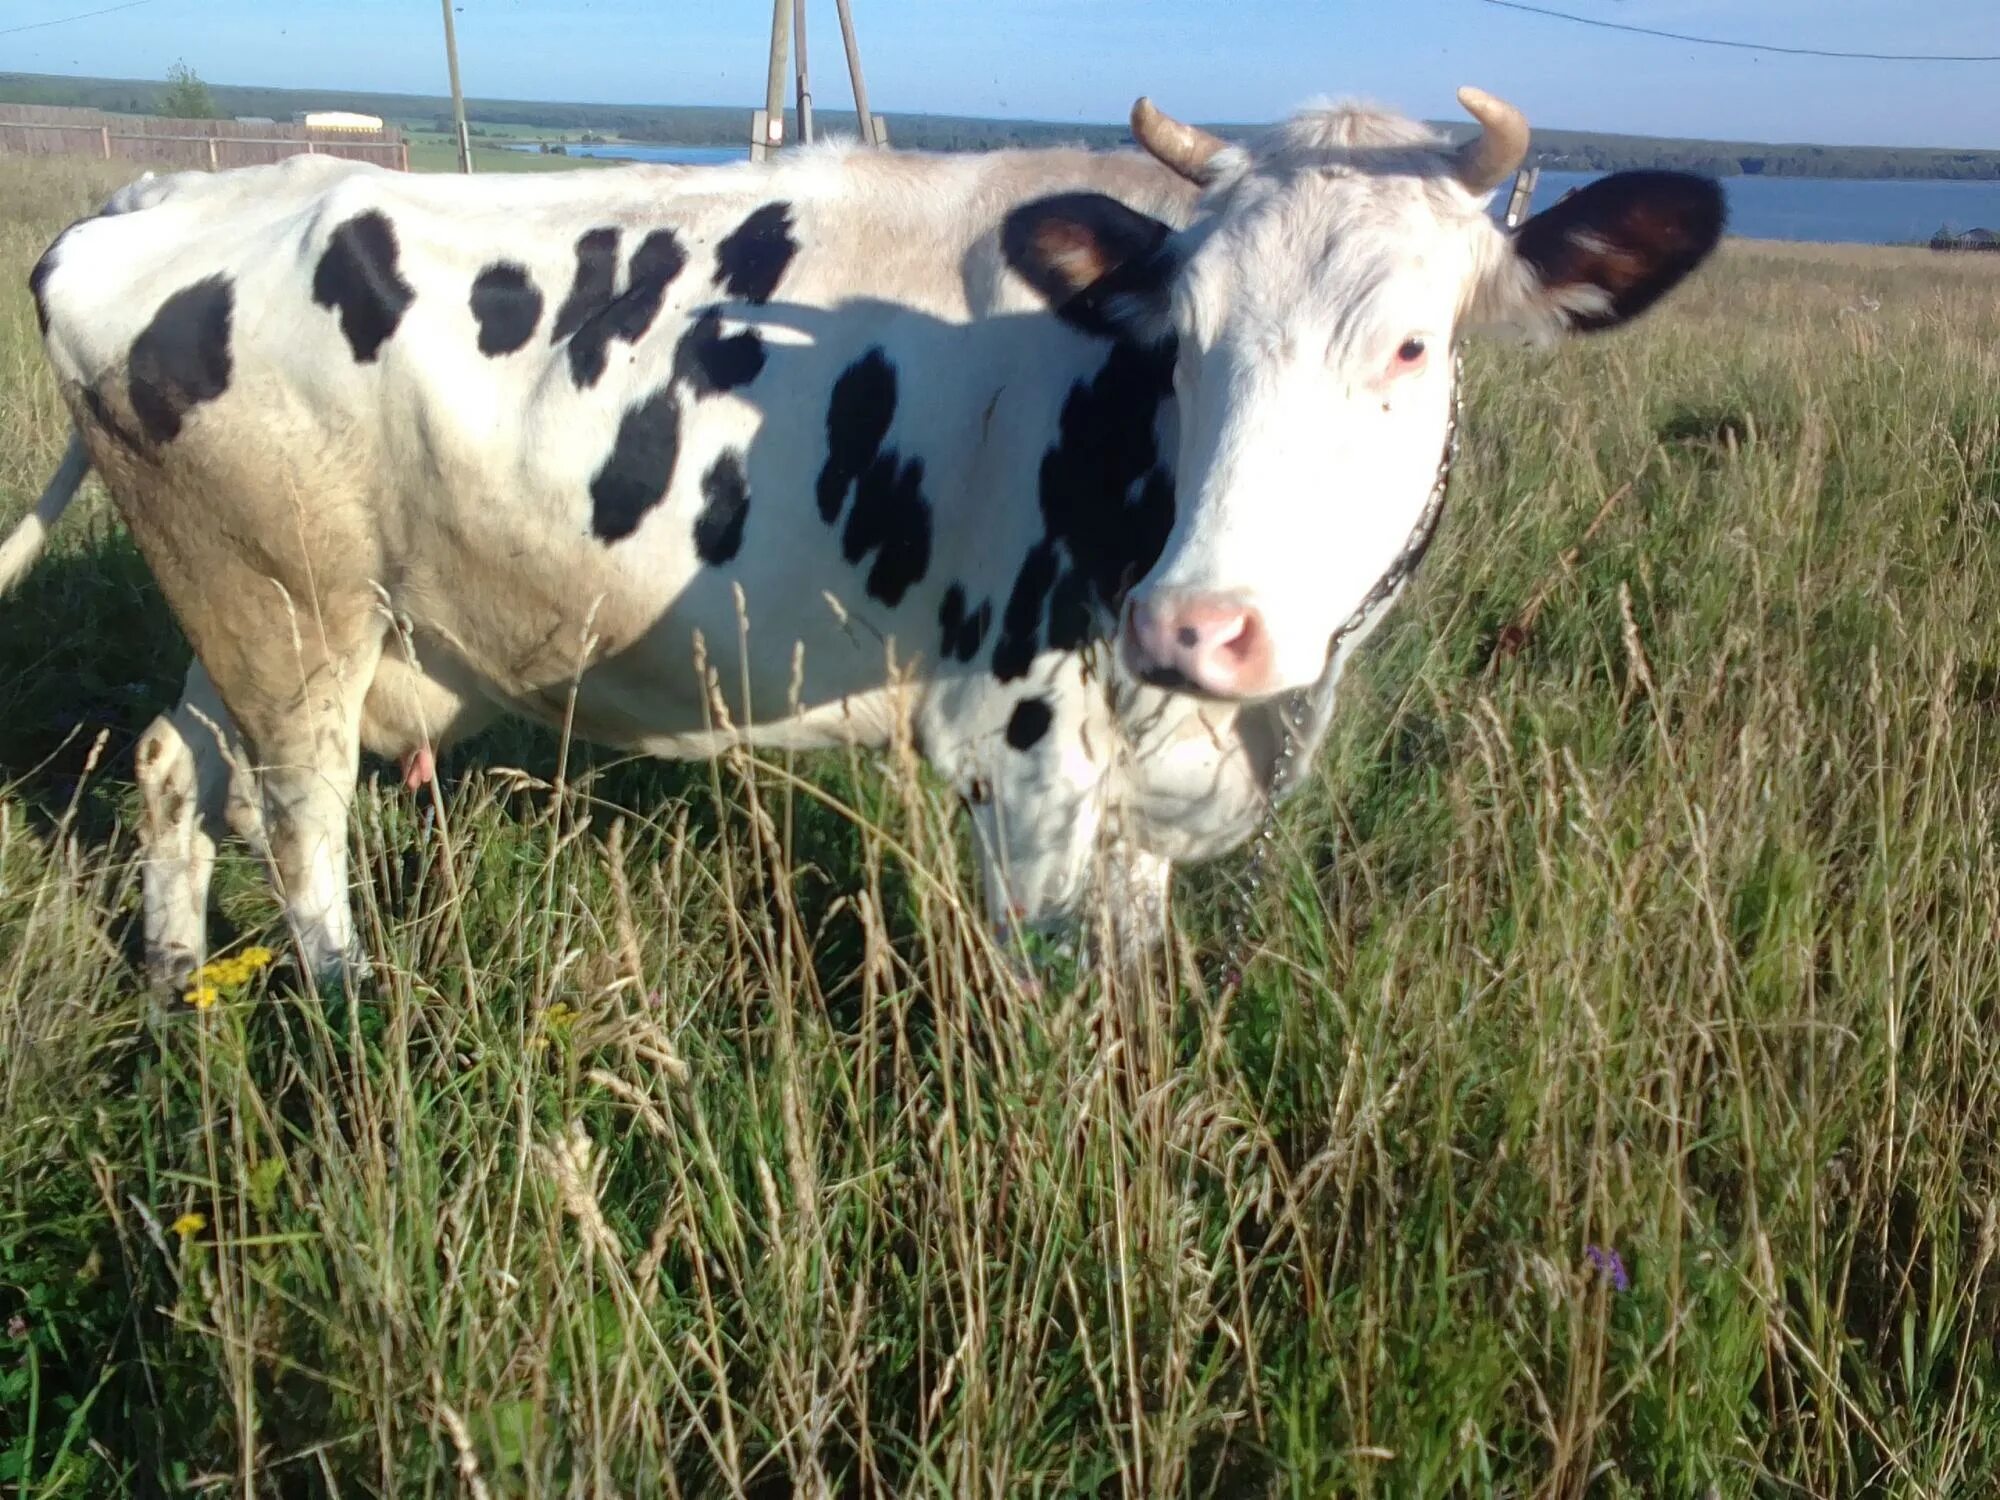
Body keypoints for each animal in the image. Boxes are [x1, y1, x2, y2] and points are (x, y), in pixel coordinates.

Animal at [0, 88, 1720, 992]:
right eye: (1179, 340)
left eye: (1415, 346)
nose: (1199, 627)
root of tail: (166, 197)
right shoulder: (1017, 744)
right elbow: (1048, 1001)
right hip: (289, 612)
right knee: (301, 820)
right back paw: (353, 1007)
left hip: (265, 612)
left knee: (175, 768)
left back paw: (172, 981)